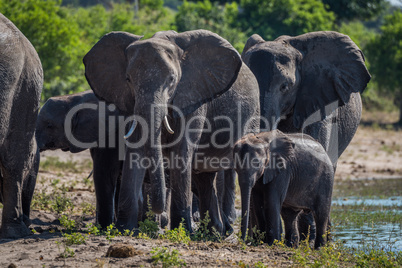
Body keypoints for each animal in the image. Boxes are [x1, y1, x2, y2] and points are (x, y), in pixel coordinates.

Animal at [84, 29, 260, 234]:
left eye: (172, 80)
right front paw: (124, 229)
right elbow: (134, 150)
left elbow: (181, 150)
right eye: (128, 79)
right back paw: (214, 232)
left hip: (252, 117)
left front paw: (181, 231)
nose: (157, 215)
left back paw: (217, 232)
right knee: (205, 178)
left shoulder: (193, 95)